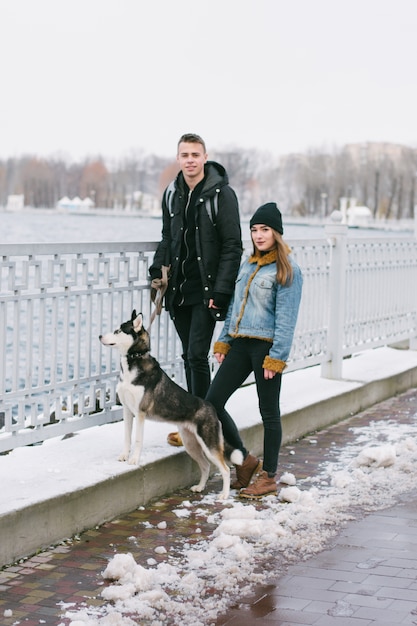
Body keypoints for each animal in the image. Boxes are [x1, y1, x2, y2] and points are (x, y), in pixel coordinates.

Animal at [99, 310, 242, 500]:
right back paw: (200, 487)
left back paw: (224, 495)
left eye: (117, 331)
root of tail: (211, 407)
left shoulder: (140, 413)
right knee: (205, 465)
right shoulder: (128, 411)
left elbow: (137, 439)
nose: (99, 336)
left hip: (208, 444)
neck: (134, 360)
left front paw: (134, 459)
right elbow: (127, 438)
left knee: (225, 469)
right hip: (191, 444)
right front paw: (123, 456)